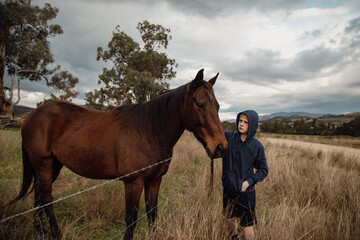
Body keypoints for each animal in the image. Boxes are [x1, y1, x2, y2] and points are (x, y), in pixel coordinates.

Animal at [9, 68, 228, 239]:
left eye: (218, 106)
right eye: (200, 104)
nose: (220, 147)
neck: (148, 132)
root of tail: (31, 116)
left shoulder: (154, 180)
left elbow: (152, 213)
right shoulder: (133, 182)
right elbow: (131, 220)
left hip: (52, 165)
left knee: (38, 196)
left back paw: (40, 231)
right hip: (44, 165)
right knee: (46, 198)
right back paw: (55, 233)